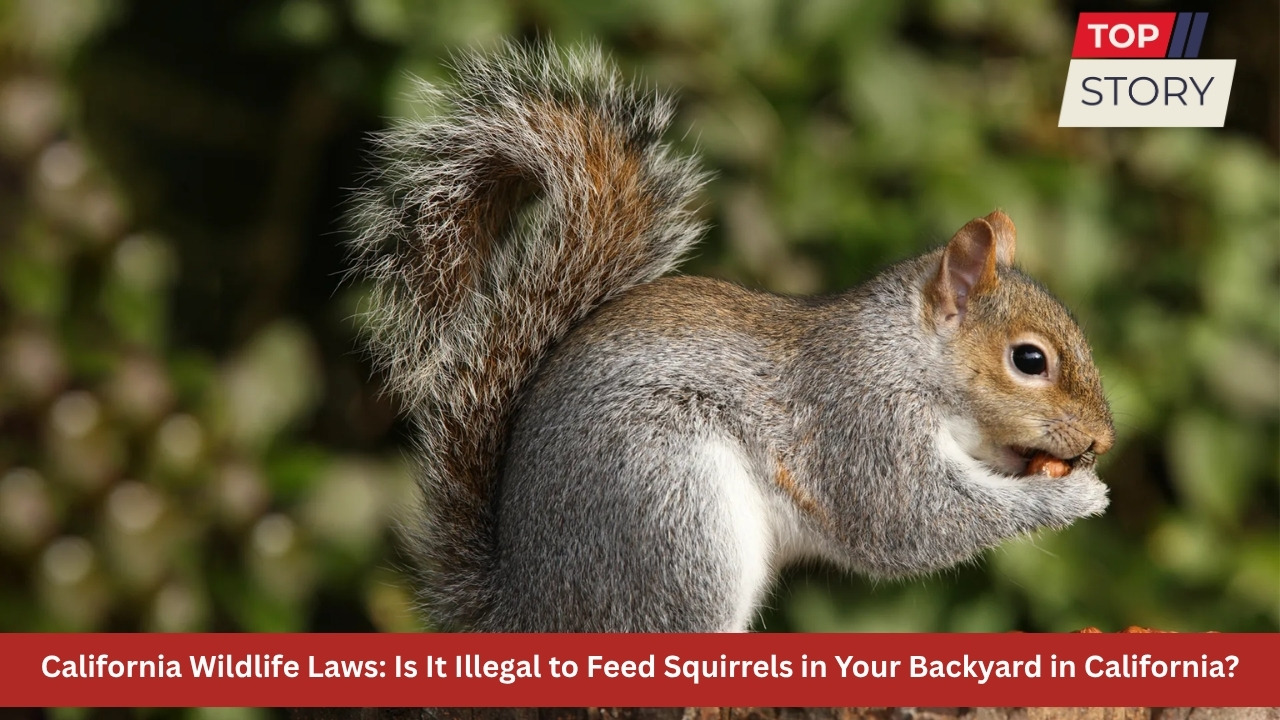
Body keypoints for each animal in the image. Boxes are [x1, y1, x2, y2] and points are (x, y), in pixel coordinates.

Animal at [347, 43, 1116, 632]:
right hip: (673, 512)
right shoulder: (861, 423)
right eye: (1029, 360)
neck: (906, 355)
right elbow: (910, 520)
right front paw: (1075, 498)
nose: (1103, 440)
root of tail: (531, 615)